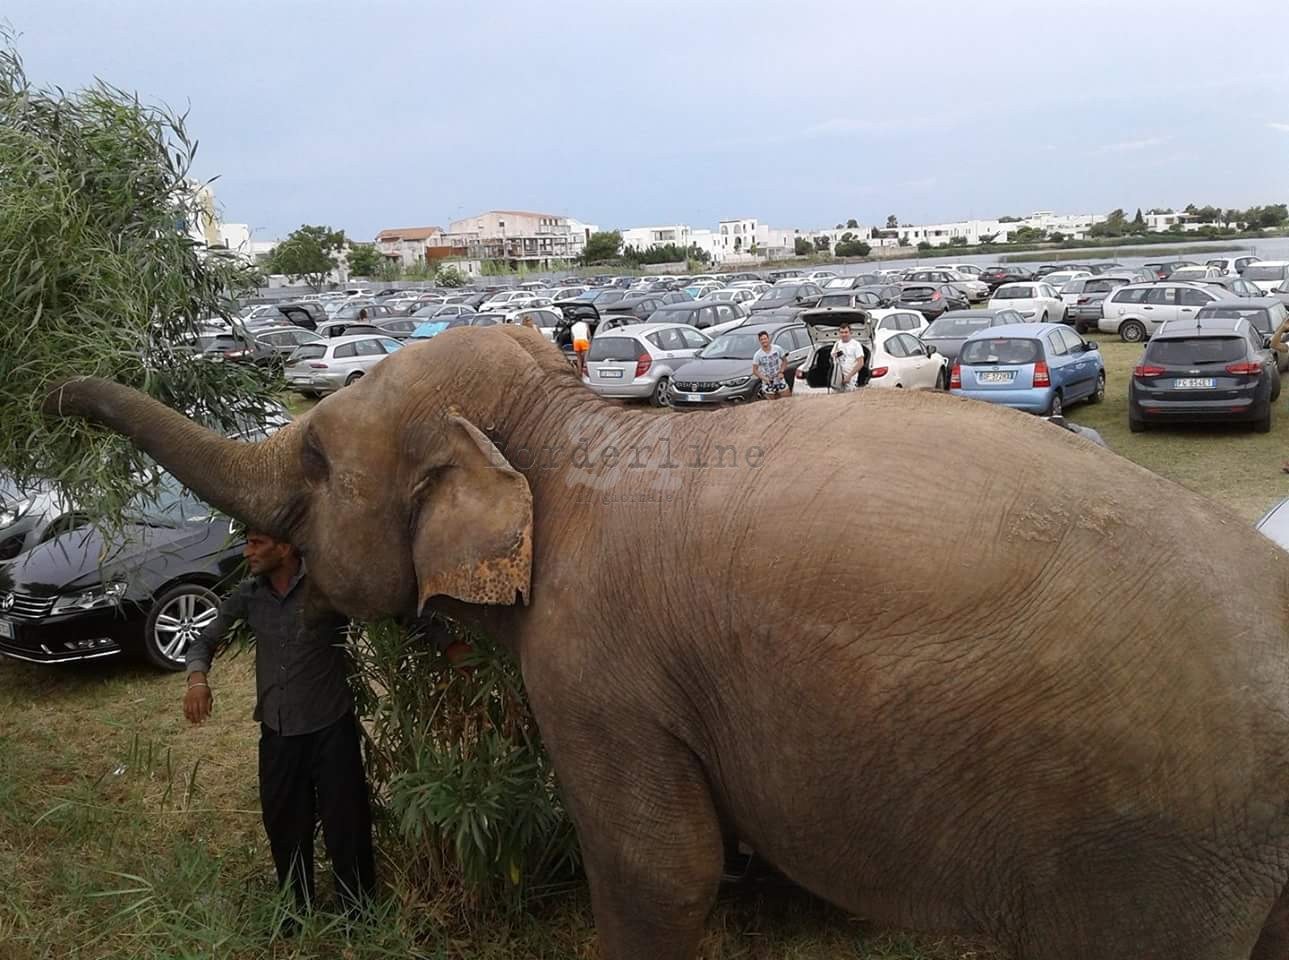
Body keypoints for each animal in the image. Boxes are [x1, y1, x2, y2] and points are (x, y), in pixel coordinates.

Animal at [41, 324, 1289, 960]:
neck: (567, 424)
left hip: (1157, 843)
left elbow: (660, 868)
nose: (50, 391)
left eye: (311, 463)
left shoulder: (599, 668)